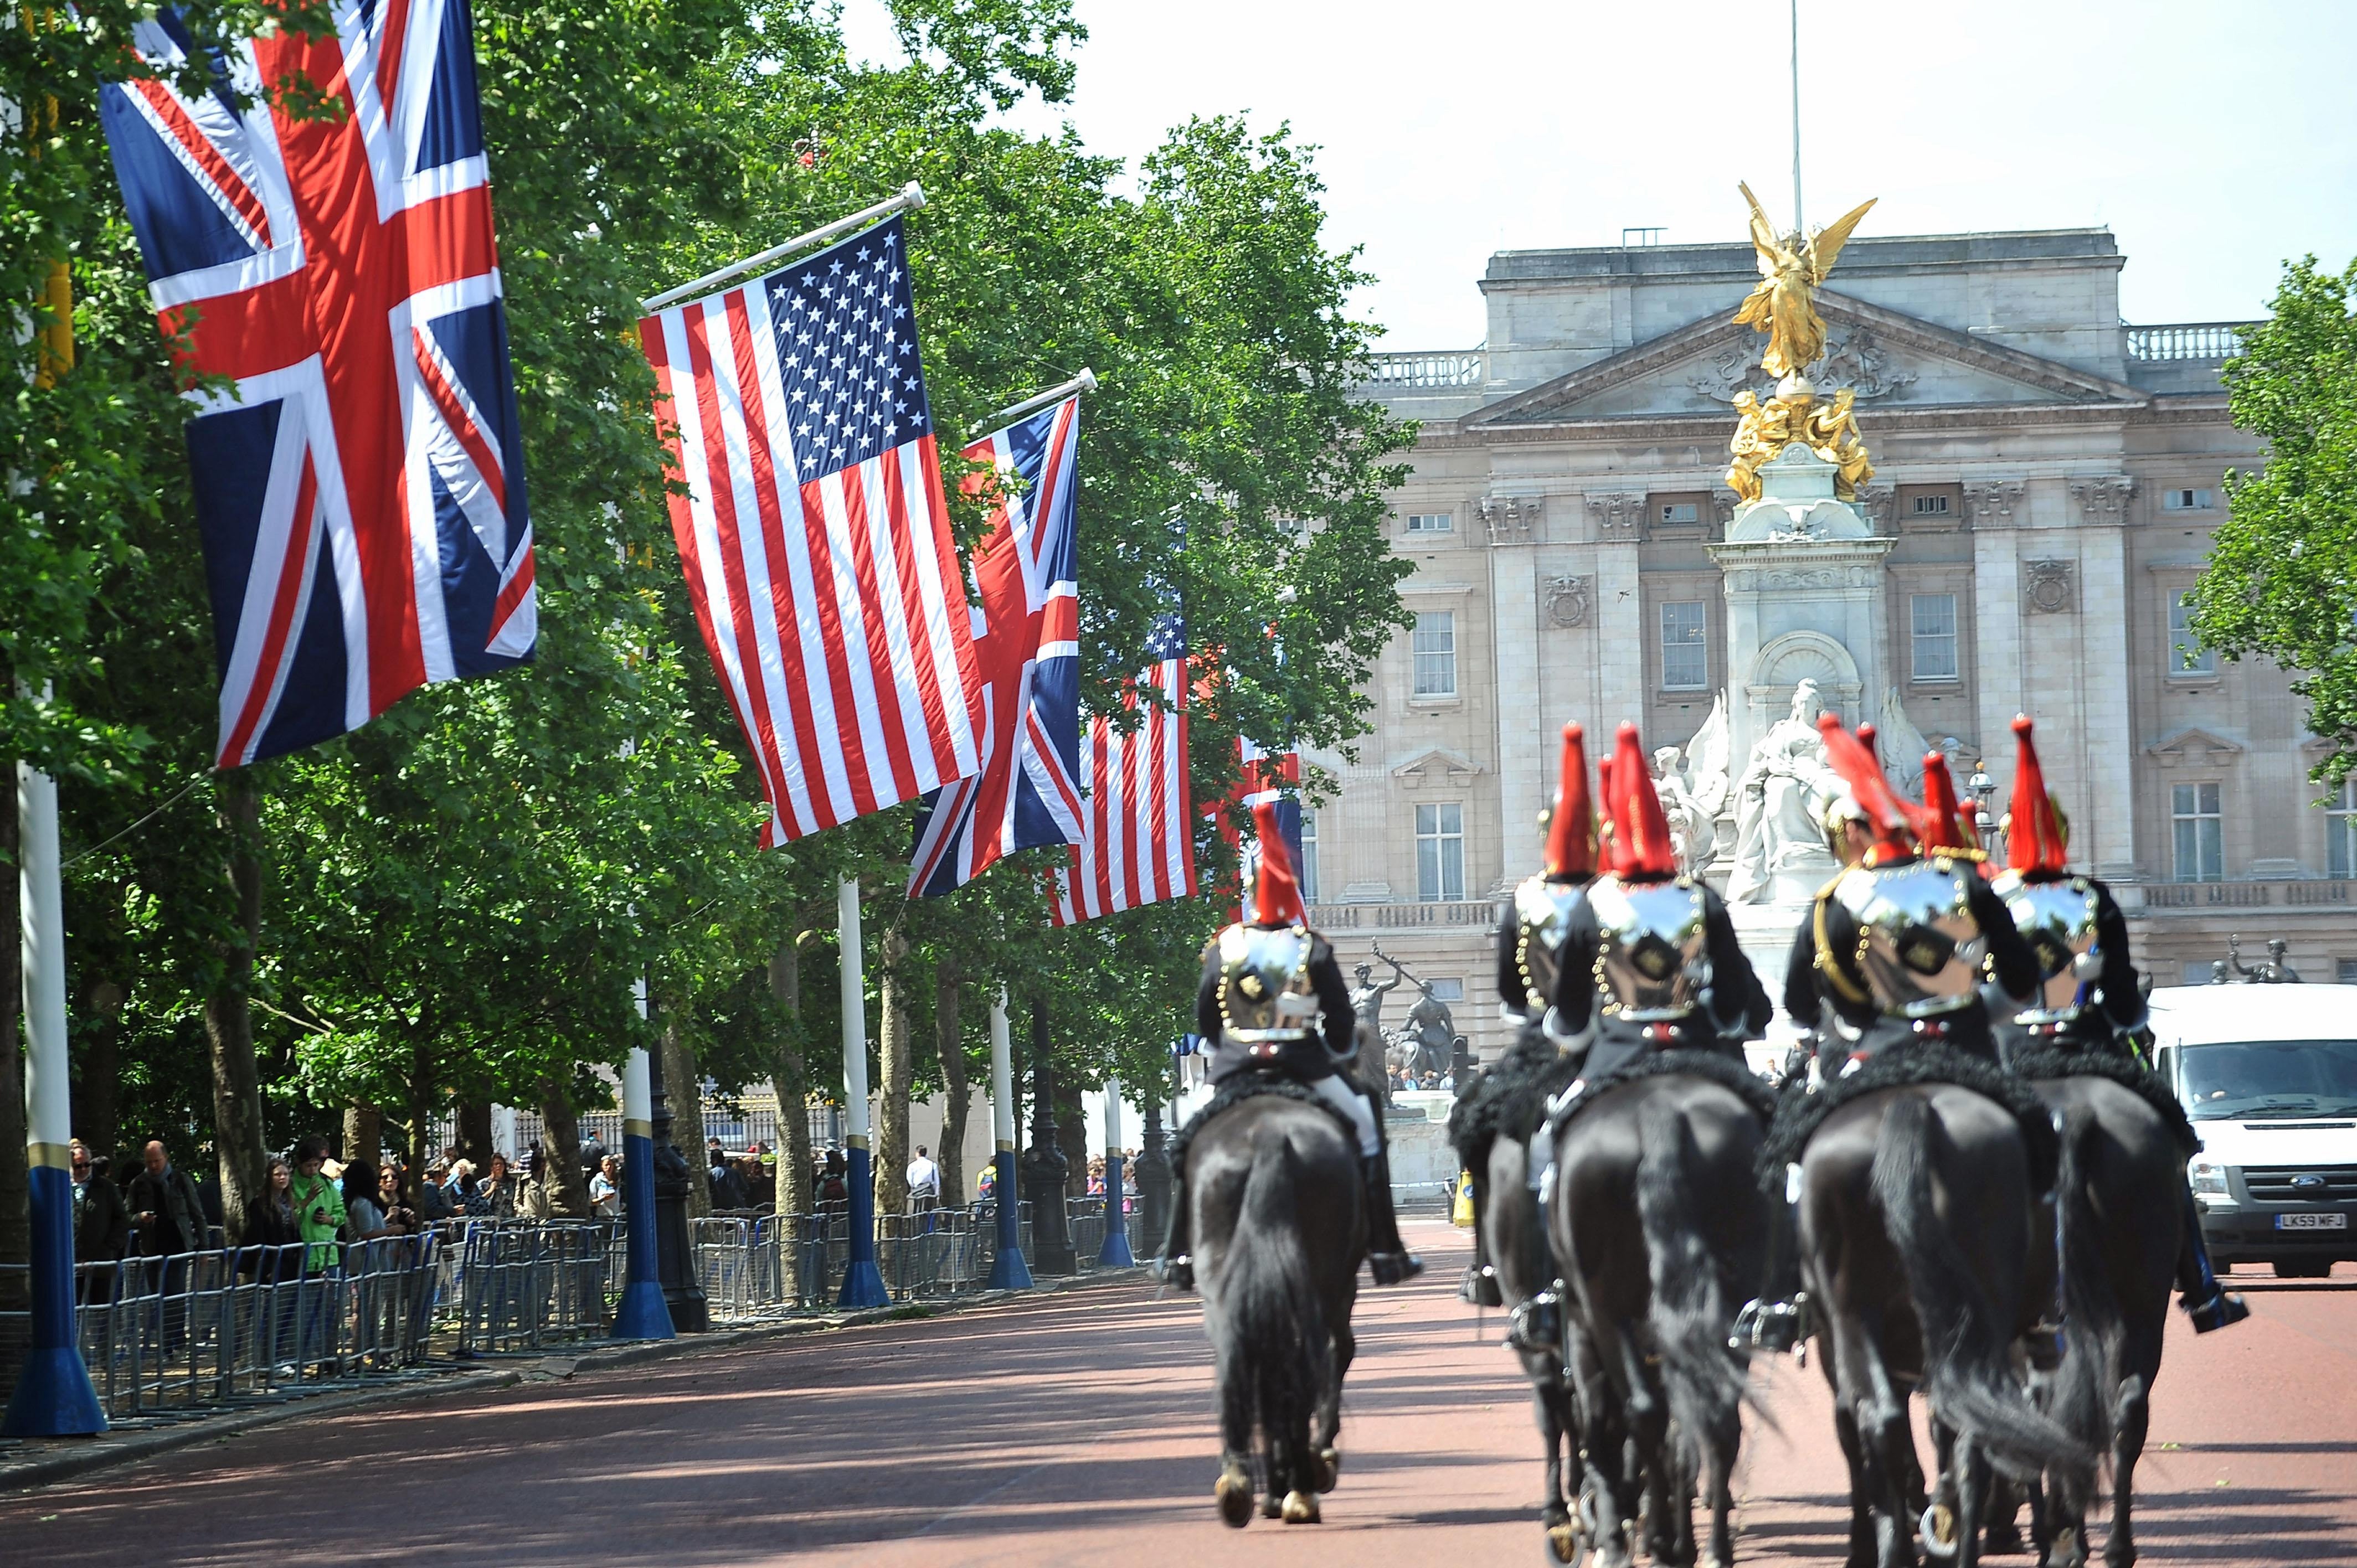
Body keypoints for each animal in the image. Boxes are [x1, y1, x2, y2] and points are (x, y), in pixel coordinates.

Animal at [1197, 1094, 1367, 1518]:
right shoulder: (1339, 1293)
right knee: (1308, 1360)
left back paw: (1243, 1484)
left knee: (1241, 1362)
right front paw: (1317, 1459)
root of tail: (1268, 1132)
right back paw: (1300, 1485)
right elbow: (1338, 1354)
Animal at [1546, 1065, 1772, 1565]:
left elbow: (1603, 1419)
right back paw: (1711, 1548)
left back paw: (1660, 1538)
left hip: (1605, 1310)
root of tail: (1659, 1109)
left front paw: (1619, 1522)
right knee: (1715, 1421)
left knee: (1643, 1412)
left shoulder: (1585, 1326)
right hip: (1730, 1306)